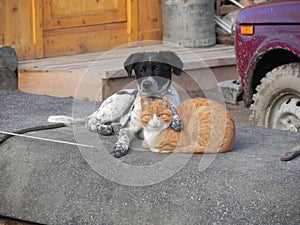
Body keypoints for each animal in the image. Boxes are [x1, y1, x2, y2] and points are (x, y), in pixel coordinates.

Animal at [47, 51, 183, 157]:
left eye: (158, 69)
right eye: (140, 70)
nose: (146, 84)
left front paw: (175, 120)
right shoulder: (129, 128)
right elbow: (124, 137)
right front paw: (119, 147)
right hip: (122, 101)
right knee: (91, 122)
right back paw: (104, 129)